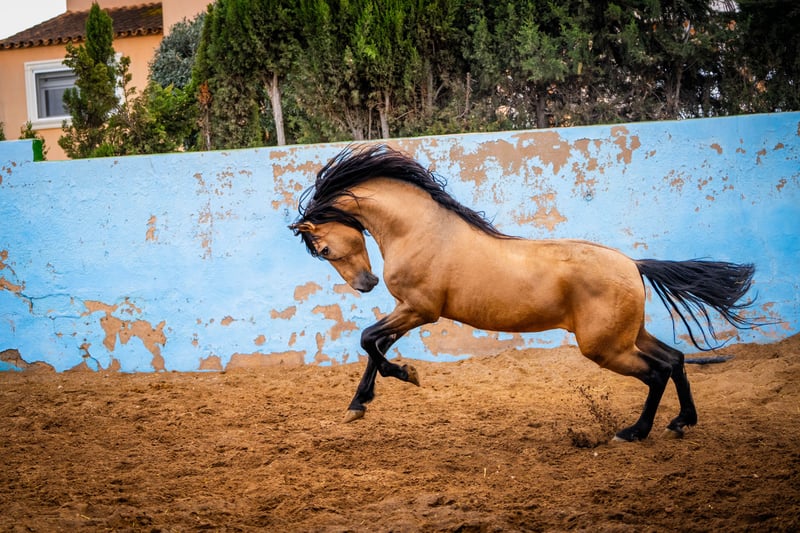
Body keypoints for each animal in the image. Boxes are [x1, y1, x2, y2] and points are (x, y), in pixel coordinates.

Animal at [289, 144, 758, 442]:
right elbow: (376, 345)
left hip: (605, 347)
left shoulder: (420, 308)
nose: (365, 285)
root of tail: (633, 266)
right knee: (675, 360)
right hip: (627, 336)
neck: (421, 230)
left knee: (658, 371)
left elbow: (369, 339)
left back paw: (634, 433)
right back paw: (681, 423)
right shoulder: (409, 309)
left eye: (324, 249)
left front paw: (405, 375)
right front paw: (359, 405)